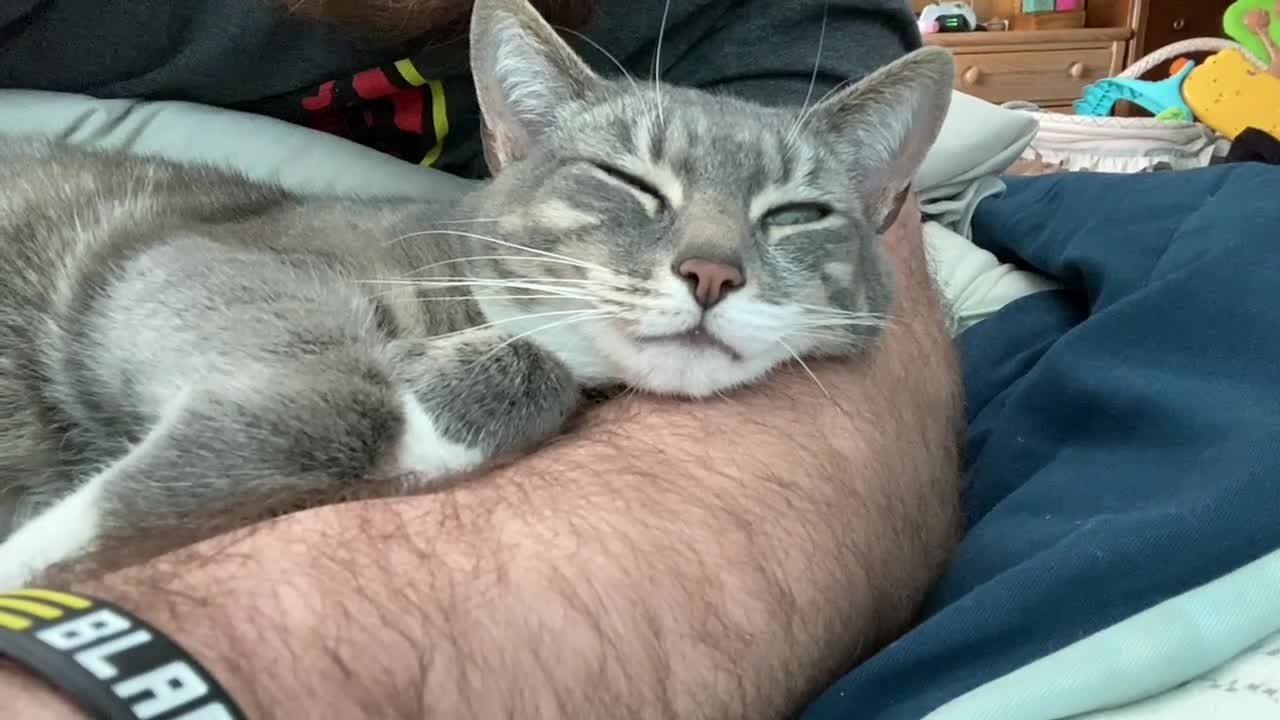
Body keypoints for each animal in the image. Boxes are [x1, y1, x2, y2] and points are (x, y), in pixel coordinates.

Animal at [0, 0, 957, 586]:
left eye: (796, 213)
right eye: (628, 180)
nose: (713, 273)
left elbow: (525, 370)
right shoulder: (197, 252)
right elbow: (336, 394)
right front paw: (41, 557)